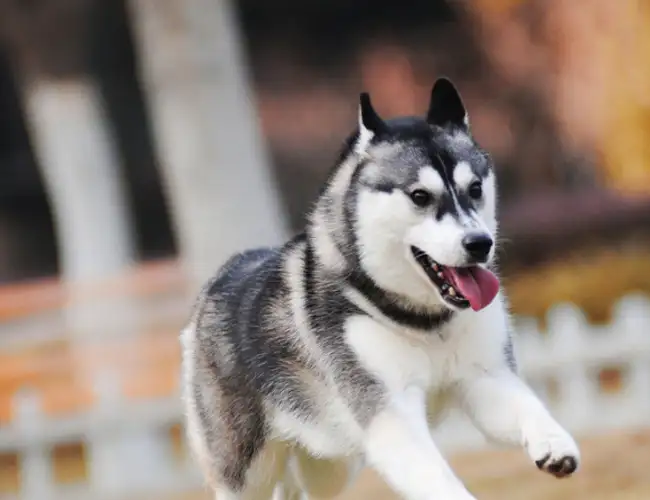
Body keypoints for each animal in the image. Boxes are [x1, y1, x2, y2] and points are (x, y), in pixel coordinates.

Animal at [180, 79, 580, 500]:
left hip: (331, 461)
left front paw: (553, 442)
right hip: (245, 471)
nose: (479, 243)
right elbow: (436, 477)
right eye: (420, 196)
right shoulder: (391, 415)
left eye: (474, 189)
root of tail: (219, 278)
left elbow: (527, 407)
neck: (425, 321)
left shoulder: (486, 379)